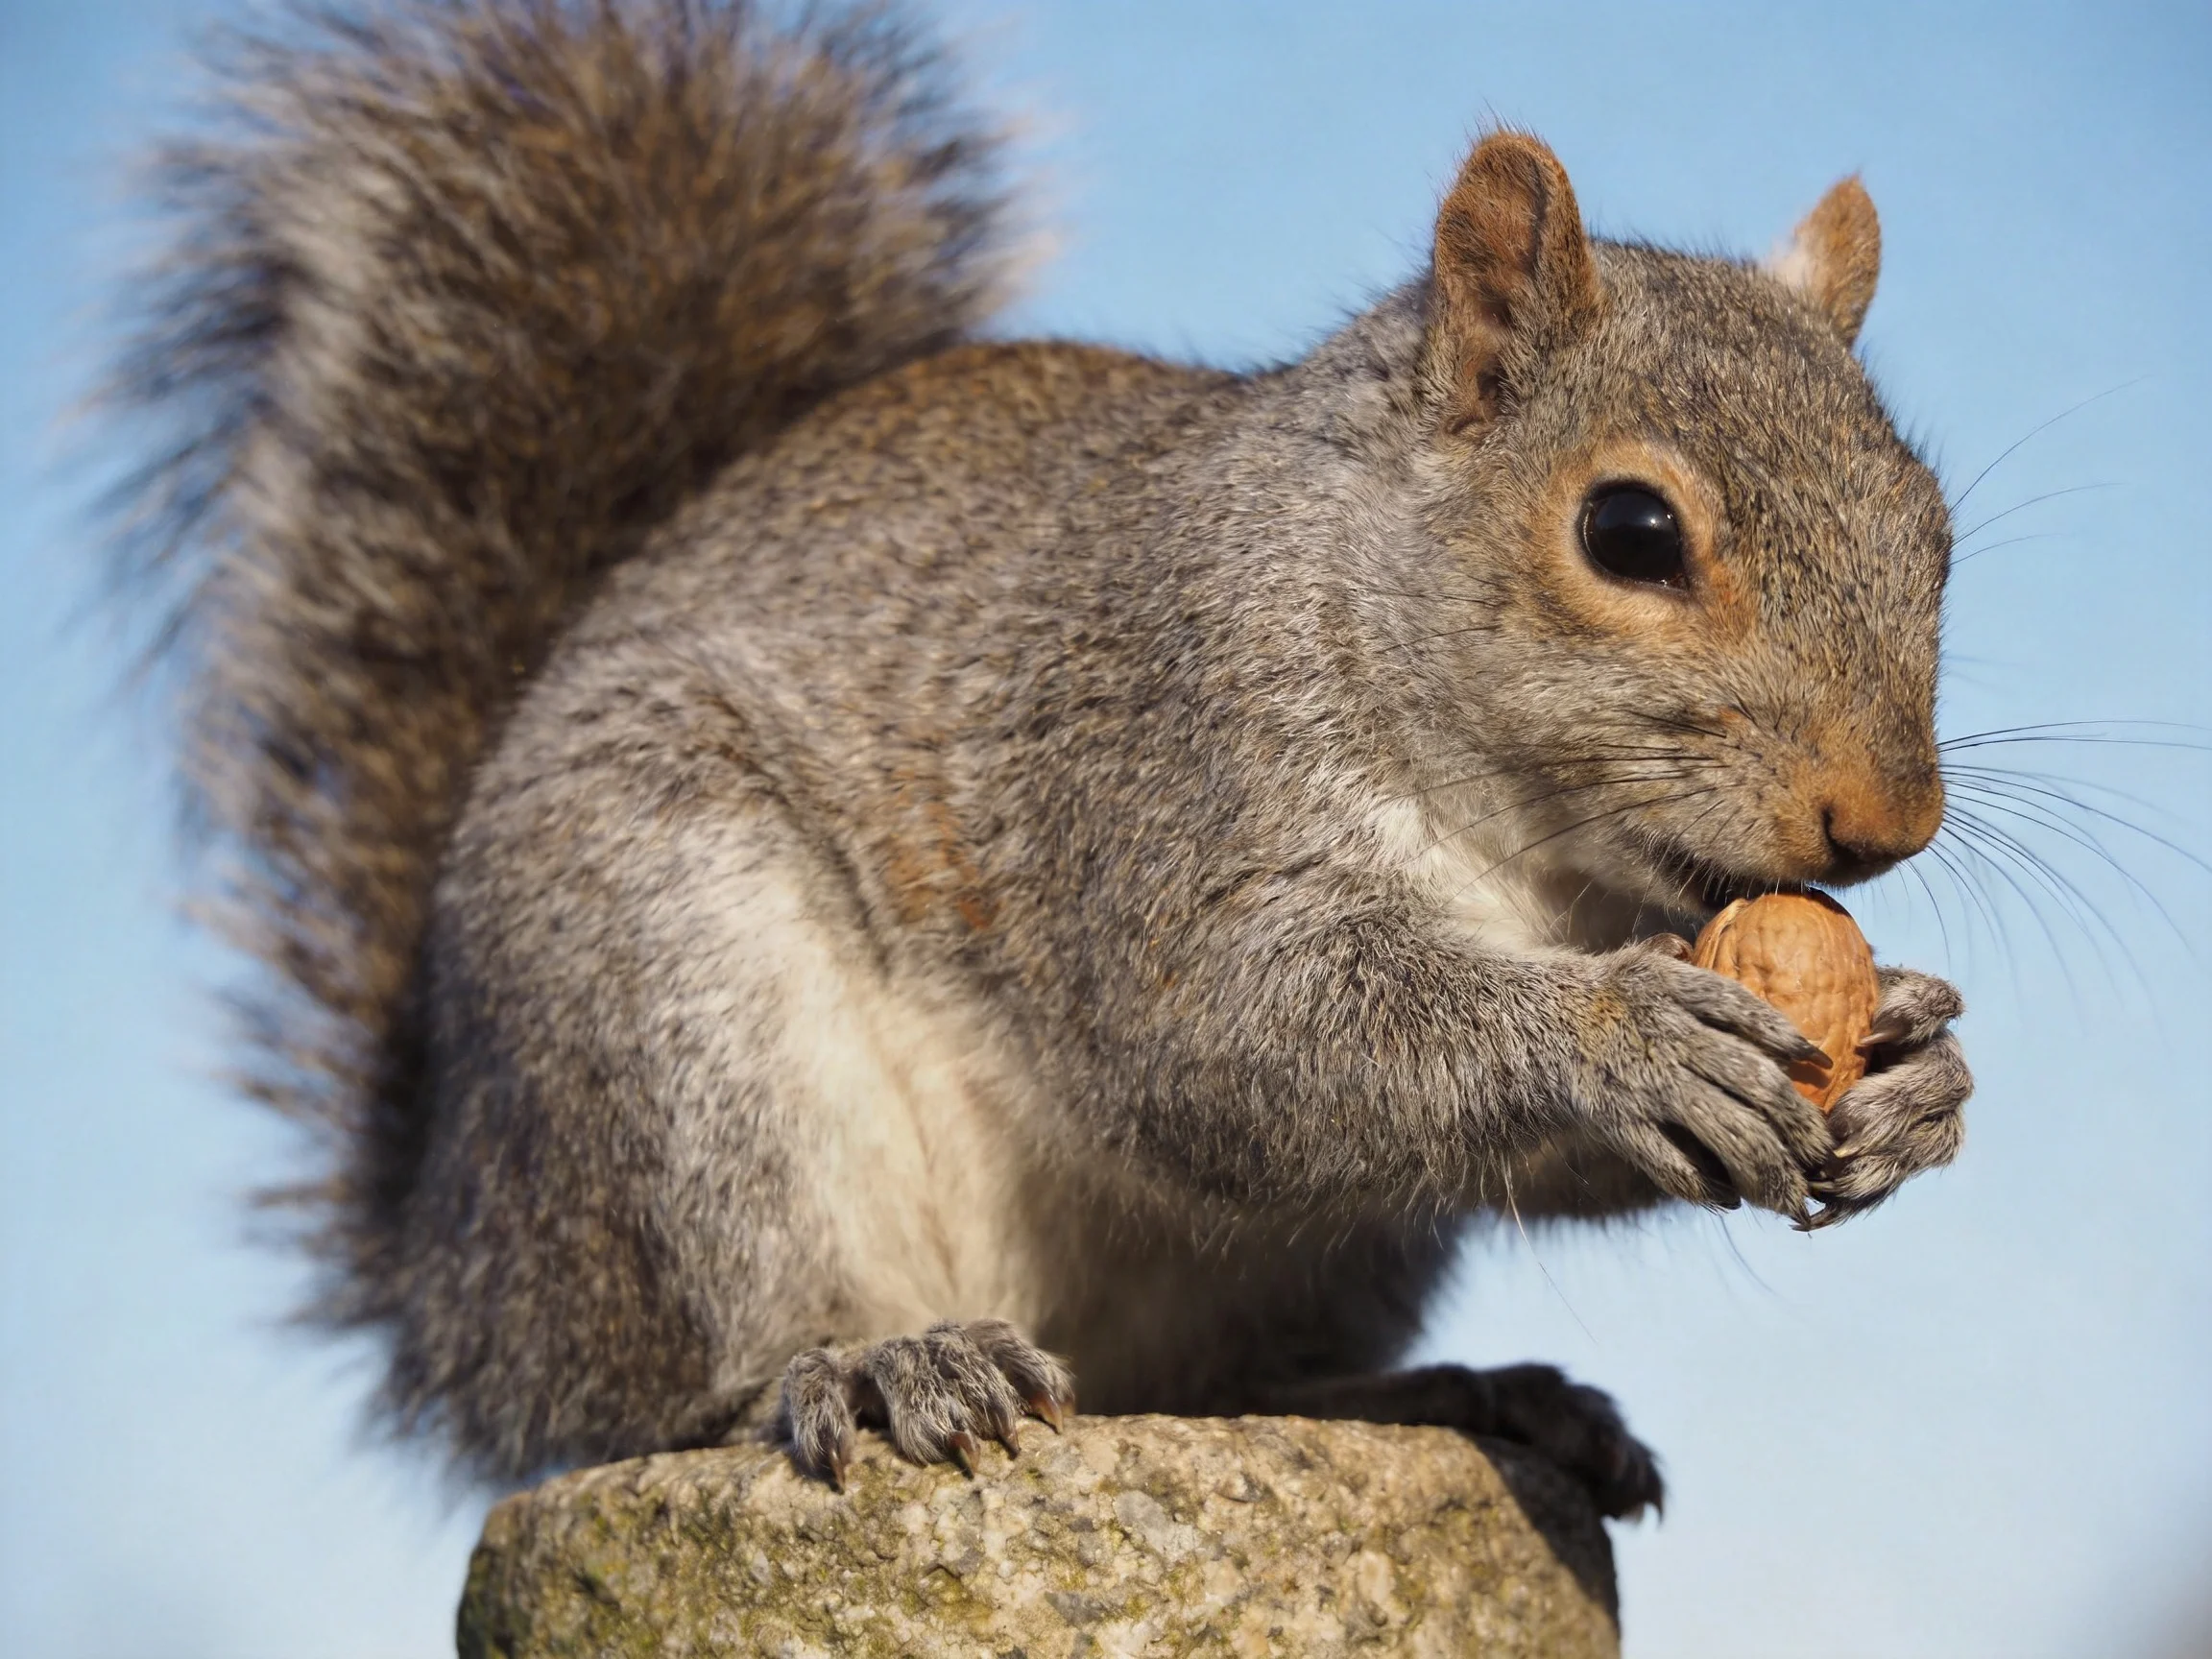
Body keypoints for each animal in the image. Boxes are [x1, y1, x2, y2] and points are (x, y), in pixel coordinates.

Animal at [115, 0, 1972, 1515]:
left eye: (1934, 534)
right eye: (1628, 530)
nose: (1884, 822)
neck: (1534, 861)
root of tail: (458, 1278)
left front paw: (1912, 1069)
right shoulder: (1149, 764)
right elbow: (1229, 1034)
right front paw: (1622, 1036)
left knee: (1227, 1385)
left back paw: (1462, 1392)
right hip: (667, 1022)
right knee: (699, 1366)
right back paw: (866, 1366)